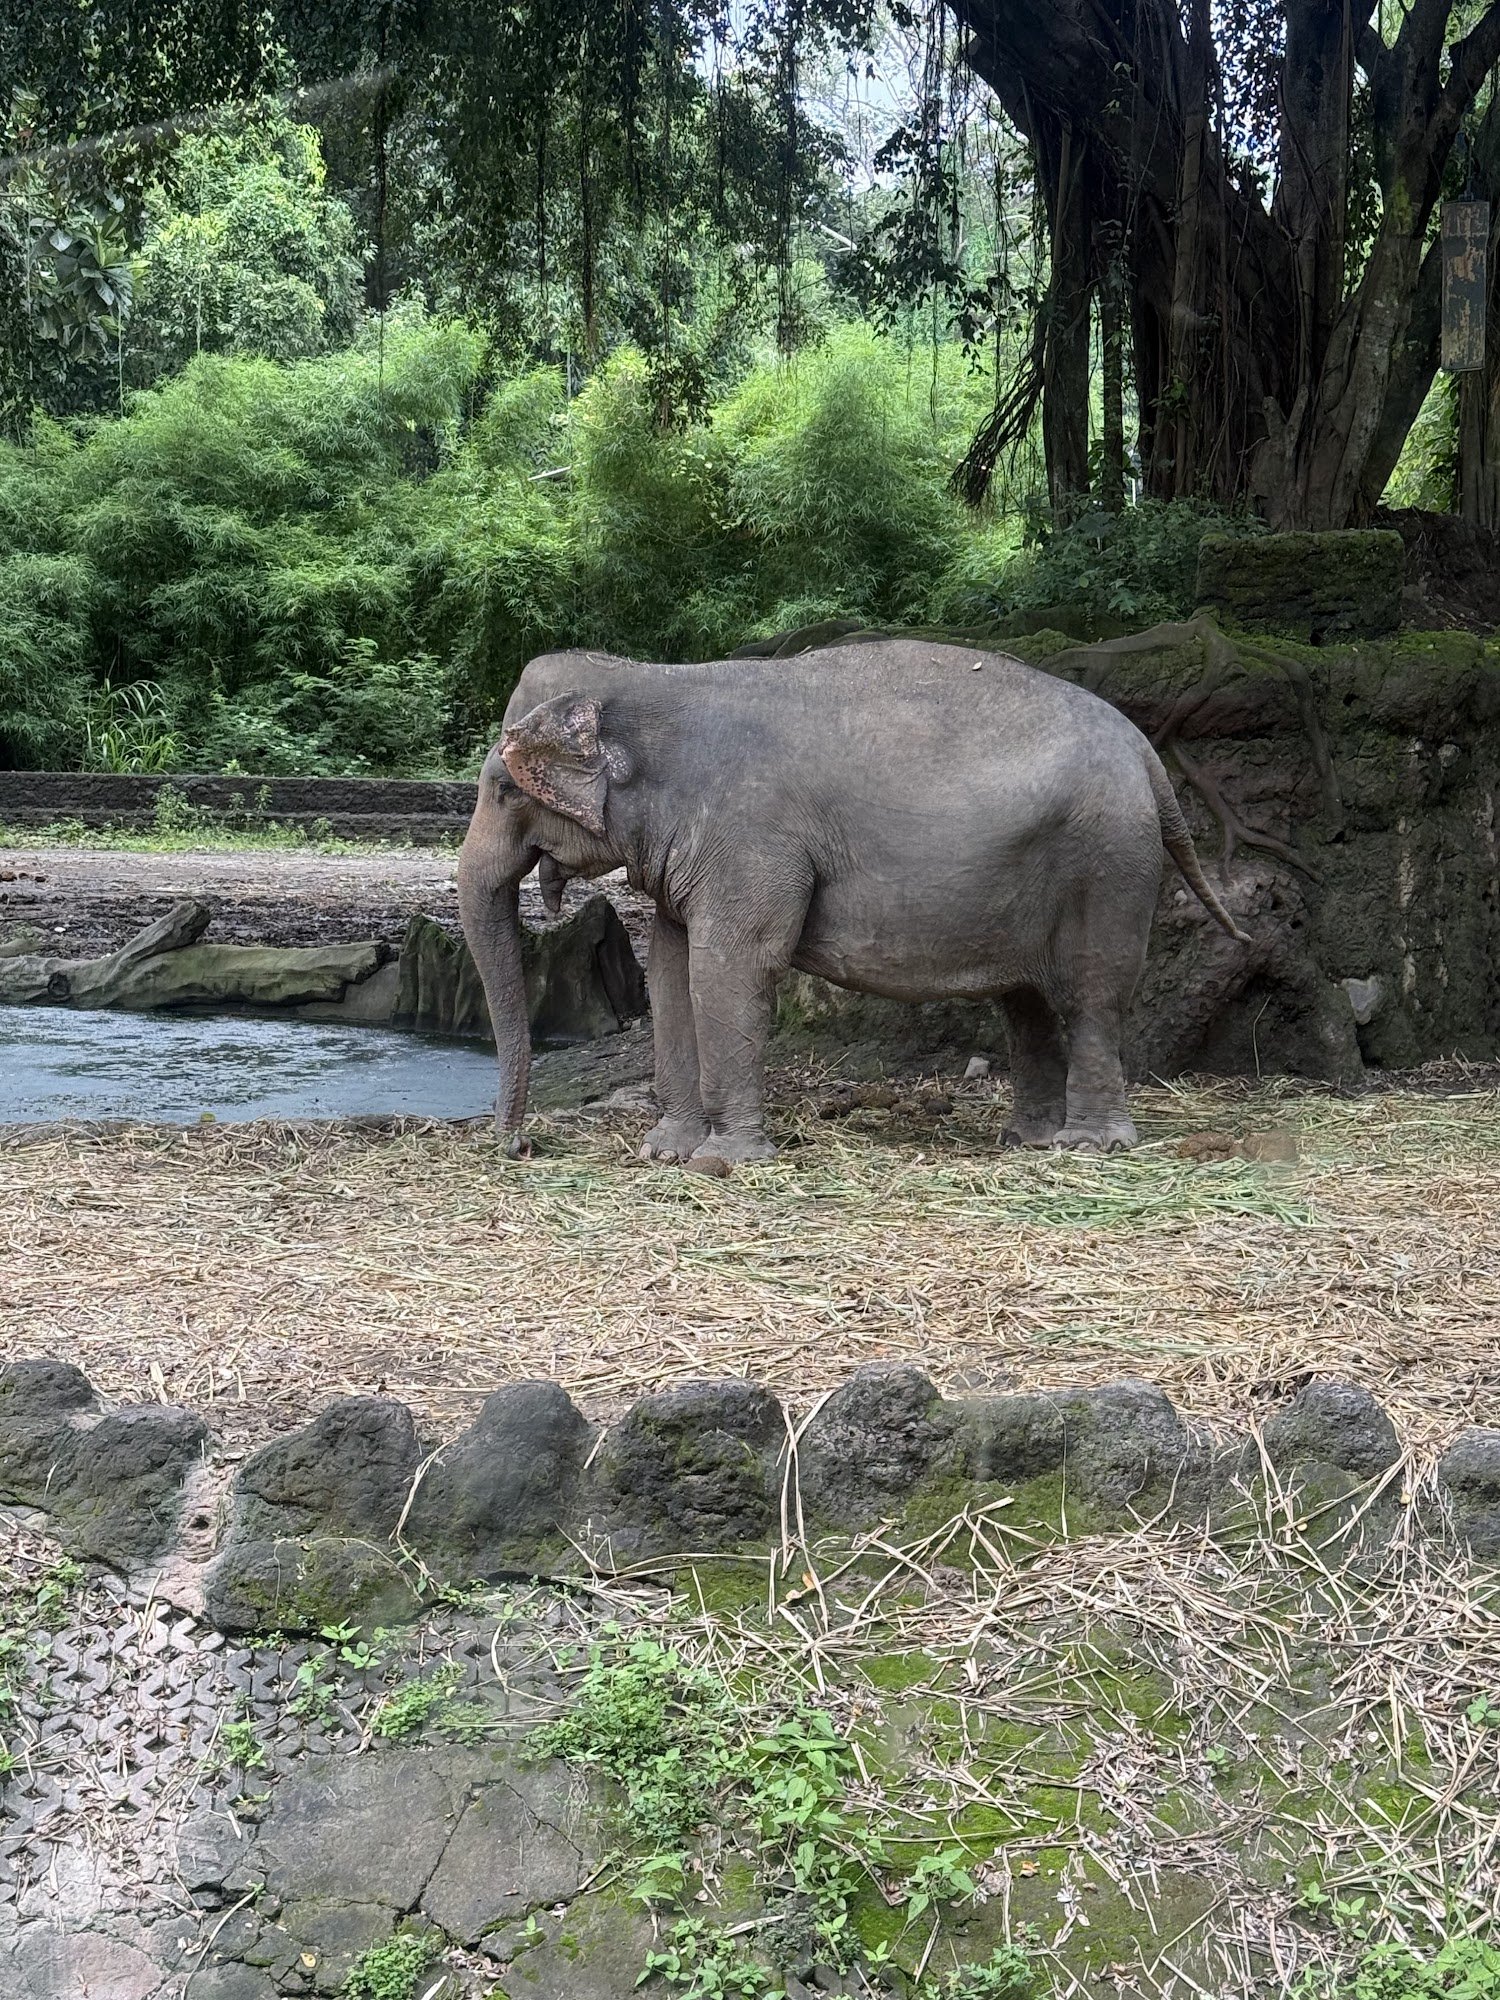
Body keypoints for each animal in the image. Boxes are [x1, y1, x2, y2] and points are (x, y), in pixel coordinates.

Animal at [457, 640, 1250, 1163]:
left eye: (501, 789)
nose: (516, 1145)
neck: (646, 679)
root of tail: (1146, 750)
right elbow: (673, 972)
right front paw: (665, 1153)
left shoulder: (751, 834)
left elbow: (733, 966)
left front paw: (722, 1163)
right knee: (1023, 1000)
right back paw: (1024, 1139)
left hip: (1108, 861)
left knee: (1092, 993)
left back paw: (1088, 1146)